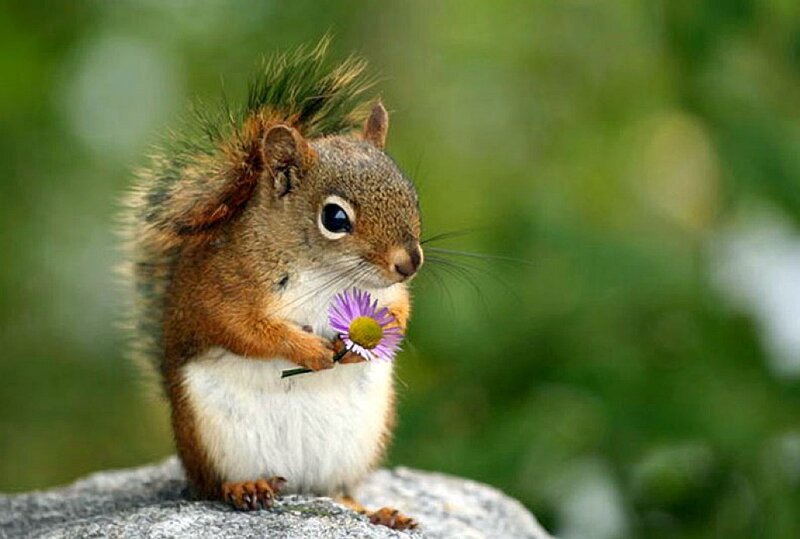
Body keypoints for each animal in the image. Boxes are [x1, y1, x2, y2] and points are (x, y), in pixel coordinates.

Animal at [122, 38, 422, 530]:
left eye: (411, 194)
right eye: (334, 217)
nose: (409, 263)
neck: (325, 273)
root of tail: (295, 481)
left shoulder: (386, 292)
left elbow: (398, 309)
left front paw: (365, 345)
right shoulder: (224, 286)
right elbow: (244, 329)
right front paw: (311, 351)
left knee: (337, 492)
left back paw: (379, 512)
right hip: (214, 437)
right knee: (216, 487)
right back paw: (246, 488)